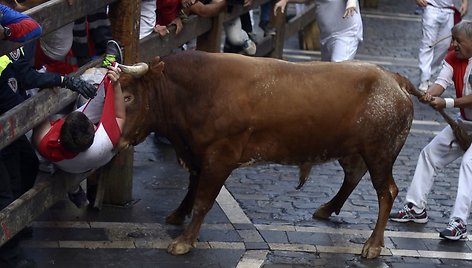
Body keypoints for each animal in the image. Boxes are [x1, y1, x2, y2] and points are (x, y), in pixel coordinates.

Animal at [119, 49, 420, 258]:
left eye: (128, 97)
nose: (117, 139)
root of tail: (393, 78)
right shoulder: (196, 153)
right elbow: (192, 188)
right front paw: (177, 215)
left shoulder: (219, 157)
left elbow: (203, 200)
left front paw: (184, 241)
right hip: (353, 150)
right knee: (353, 176)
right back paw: (326, 209)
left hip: (380, 153)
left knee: (386, 192)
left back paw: (373, 245)